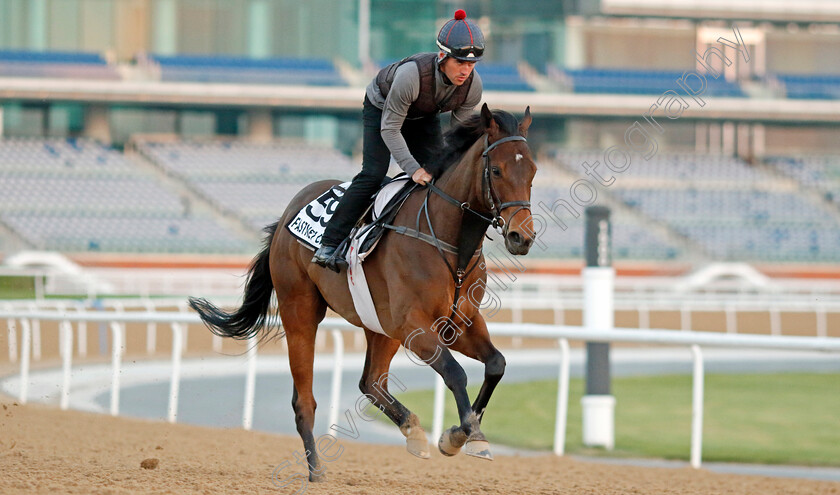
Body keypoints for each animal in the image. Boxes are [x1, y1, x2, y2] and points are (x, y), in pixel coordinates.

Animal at [188, 103, 536, 480]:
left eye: (533, 171)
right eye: (497, 170)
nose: (522, 236)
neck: (450, 246)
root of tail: (286, 215)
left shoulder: (457, 323)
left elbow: (496, 364)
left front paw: (457, 435)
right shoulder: (415, 327)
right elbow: (456, 372)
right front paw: (469, 437)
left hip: (380, 326)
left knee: (371, 382)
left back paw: (412, 431)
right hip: (300, 312)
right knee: (304, 400)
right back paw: (316, 470)